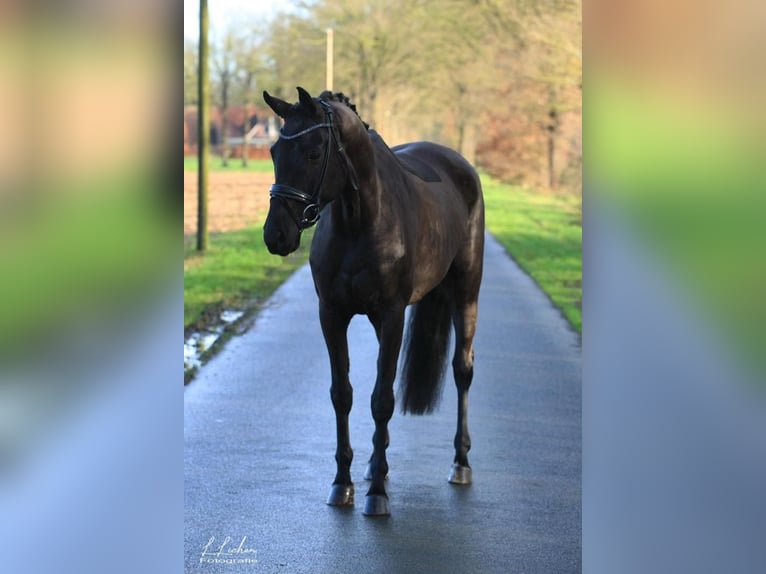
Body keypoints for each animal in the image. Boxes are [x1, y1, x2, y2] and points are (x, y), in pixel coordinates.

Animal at [262, 87, 484, 516]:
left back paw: (461, 463)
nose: (275, 235)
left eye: (314, 152)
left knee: (462, 370)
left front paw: (377, 494)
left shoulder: (393, 314)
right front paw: (342, 484)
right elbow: (342, 395)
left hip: (466, 294)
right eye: (274, 152)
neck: (360, 219)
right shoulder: (333, 315)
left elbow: (382, 400)